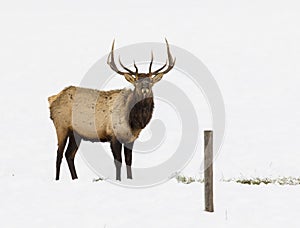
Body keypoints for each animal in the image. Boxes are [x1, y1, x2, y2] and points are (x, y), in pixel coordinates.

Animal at [48, 39, 176, 182]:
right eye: (136, 82)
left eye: (150, 82)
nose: (144, 90)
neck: (134, 121)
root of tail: (52, 99)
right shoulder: (113, 135)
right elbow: (118, 161)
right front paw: (118, 180)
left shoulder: (130, 138)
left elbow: (129, 160)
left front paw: (130, 179)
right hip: (61, 126)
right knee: (59, 154)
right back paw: (57, 179)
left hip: (76, 133)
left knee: (69, 154)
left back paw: (75, 179)